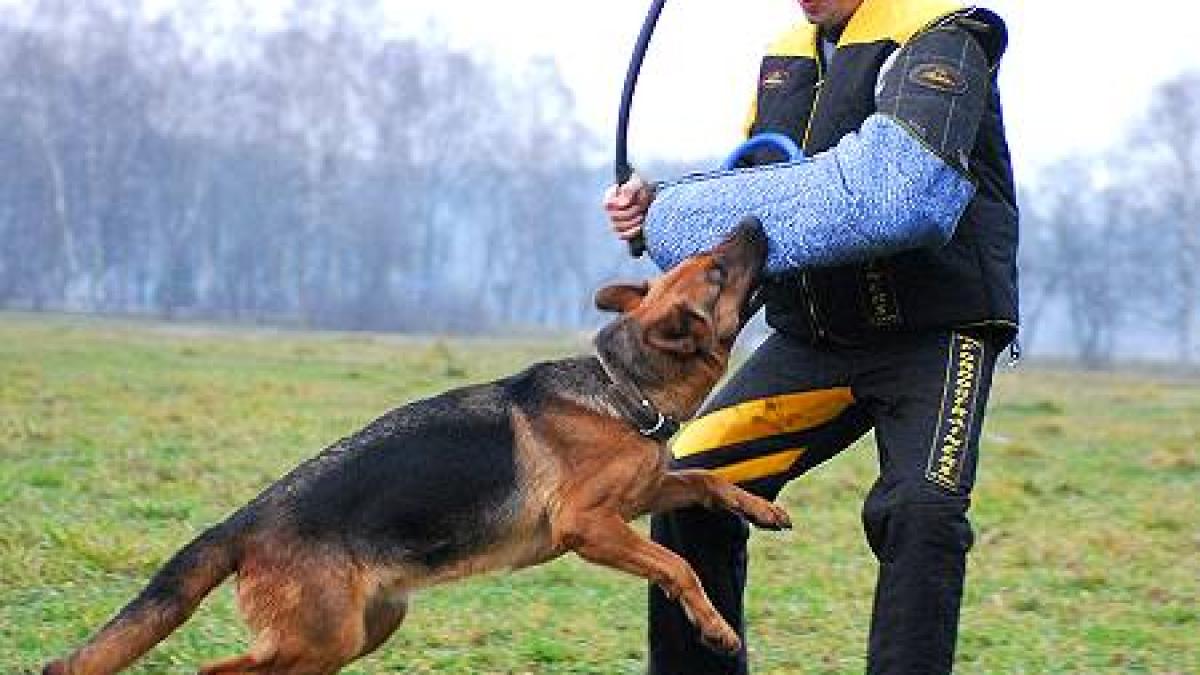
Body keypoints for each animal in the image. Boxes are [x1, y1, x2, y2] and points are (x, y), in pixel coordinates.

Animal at [42, 218, 787, 667]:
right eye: (716, 271)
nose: (756, 222)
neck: (622, 387)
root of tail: (244, 522)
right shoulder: (589, 525)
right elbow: (677, 565)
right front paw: (715, 625)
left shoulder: (640, 495)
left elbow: (706, 480)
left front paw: (761, 507)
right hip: (322, 637)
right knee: (216, 669)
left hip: (368, 627)